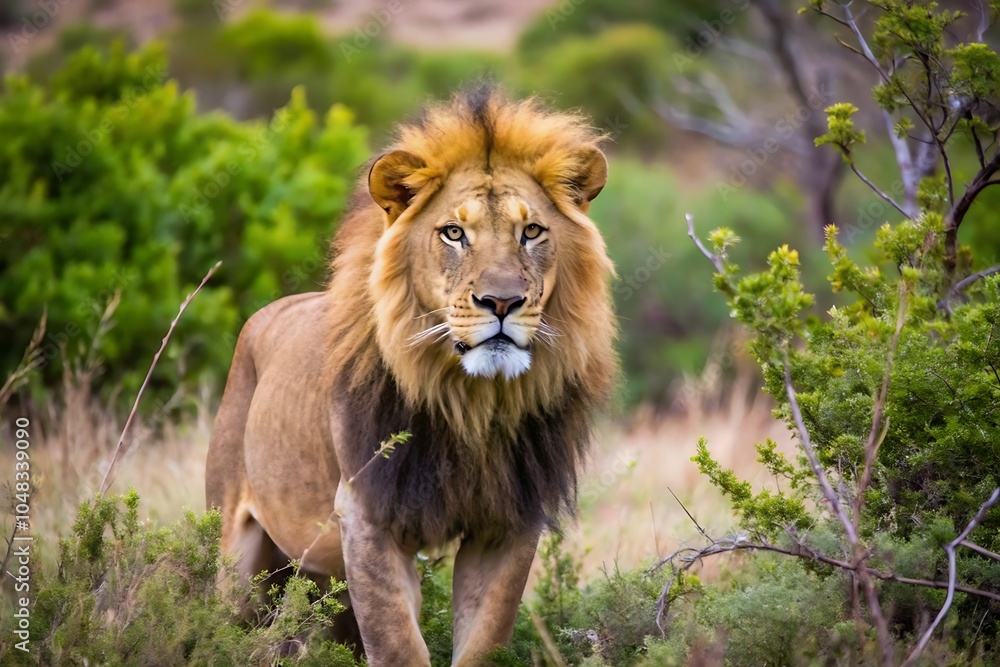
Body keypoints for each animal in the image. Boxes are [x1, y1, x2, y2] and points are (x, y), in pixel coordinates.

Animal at [206, 85, 618, 666]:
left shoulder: (509, 526)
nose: (502, 302)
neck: (471, 401)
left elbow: (484, 641)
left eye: (532, 231)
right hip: (238, 559)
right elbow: (398, 645)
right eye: (454, 233)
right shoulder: (367, 516)